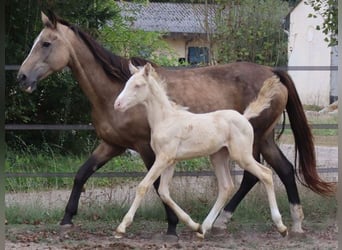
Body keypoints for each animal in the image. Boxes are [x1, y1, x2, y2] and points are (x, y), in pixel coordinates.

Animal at [113, 62, 288, 238]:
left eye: (138, 85)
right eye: (127, 83)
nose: (117, 105)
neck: (166, 120)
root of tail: (244, 117)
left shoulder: (163, 158)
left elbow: (143, 186)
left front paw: (121, 227)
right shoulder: (170, 161)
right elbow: (164, 192)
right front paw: (193, 225)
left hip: (242, 156)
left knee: (266, 174)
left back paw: (281, 226)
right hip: (218, 157)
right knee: (226, 187)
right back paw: (203, 228)